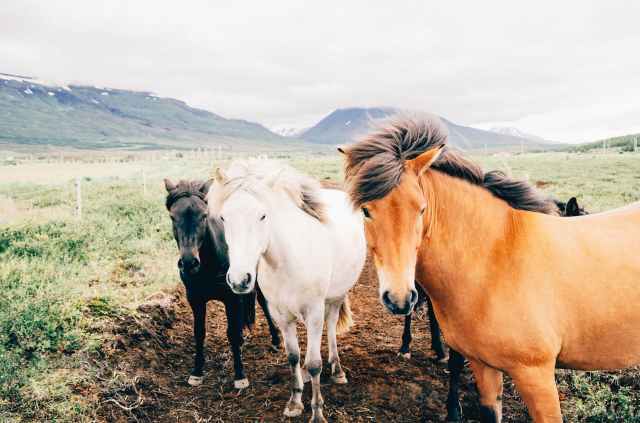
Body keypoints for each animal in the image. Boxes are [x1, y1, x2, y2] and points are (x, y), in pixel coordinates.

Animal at [164, 179, 281, 389]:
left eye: (204, 215)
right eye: (172, 216)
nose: (189, 263)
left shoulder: (231, 298)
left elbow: (233, 333)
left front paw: (240, 375)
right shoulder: (195, 300)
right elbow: (199, 333)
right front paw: (197, 372)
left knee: (263, 302)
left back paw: (275, 339)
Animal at [208, 159, 367, 423]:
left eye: (263, 215)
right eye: (223, 217)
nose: (239, 280)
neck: (286, 261)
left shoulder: (314, 313)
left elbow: (314, 363)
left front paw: (317, 413)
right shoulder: (280, 315)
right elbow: (293, 357)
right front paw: (294, 402)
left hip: (336, 296)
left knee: (332, 325)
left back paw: (337, 369)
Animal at [340, 114, 640, 422]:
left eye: (421, 209)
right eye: (365, 210)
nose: (399, 297)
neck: (496, 261)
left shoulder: (536, 376)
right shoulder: (483, 366)